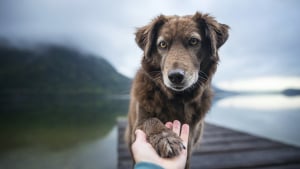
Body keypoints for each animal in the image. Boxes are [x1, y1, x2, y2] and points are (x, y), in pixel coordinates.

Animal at [125, 12, 229, 169]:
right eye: (162, 44)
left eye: (193, 41)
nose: (175, 76)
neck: (177, 98)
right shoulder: (138, 123)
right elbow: (151, 120)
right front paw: (166, 138)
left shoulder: (190, 142)